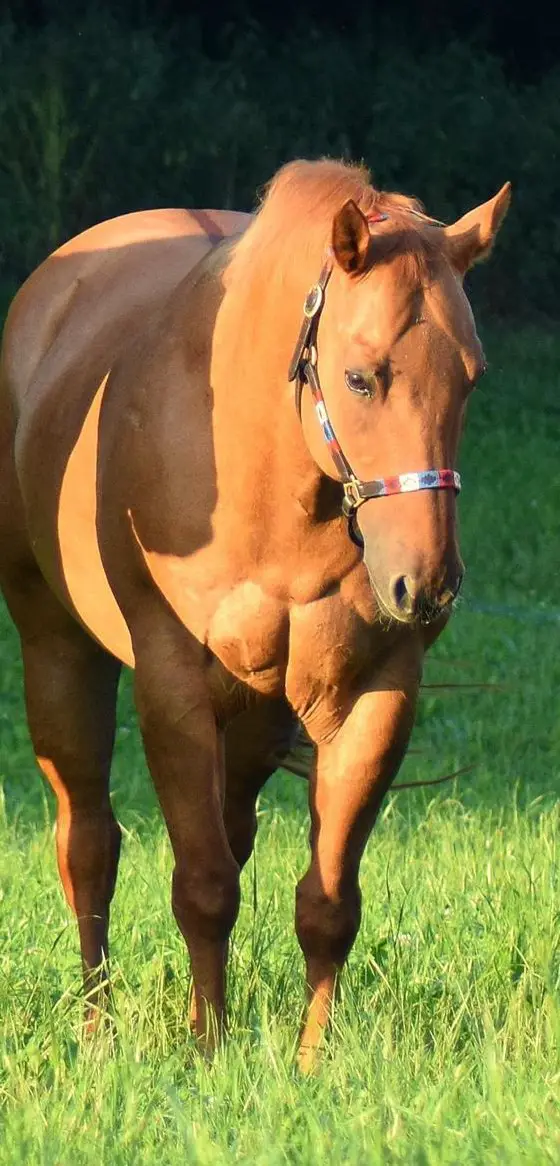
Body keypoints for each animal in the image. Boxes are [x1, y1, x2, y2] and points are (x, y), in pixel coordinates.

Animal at [0, 158, 510, 1070]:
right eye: (360, 376)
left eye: (471, 377)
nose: (425, 585)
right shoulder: (171, 688)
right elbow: (202, 885)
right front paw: (207, 1051)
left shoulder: (375, 694)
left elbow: (326, 902)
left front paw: (311, 1063)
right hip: (57, 650)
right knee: (88, 845)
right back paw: (96, 1030)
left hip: (254, 714)